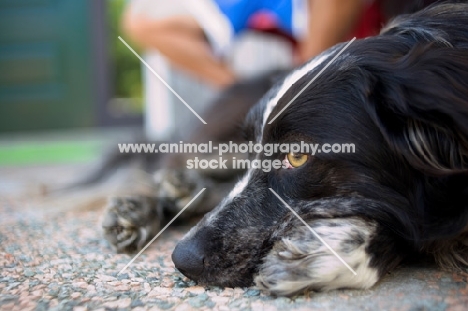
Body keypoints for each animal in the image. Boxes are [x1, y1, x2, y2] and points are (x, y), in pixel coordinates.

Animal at [104, 2, 468, 298]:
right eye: (253, 145)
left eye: (297, 156)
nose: (183, 258)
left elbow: (409, 225)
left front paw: (324, 254)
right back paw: (145, 206)